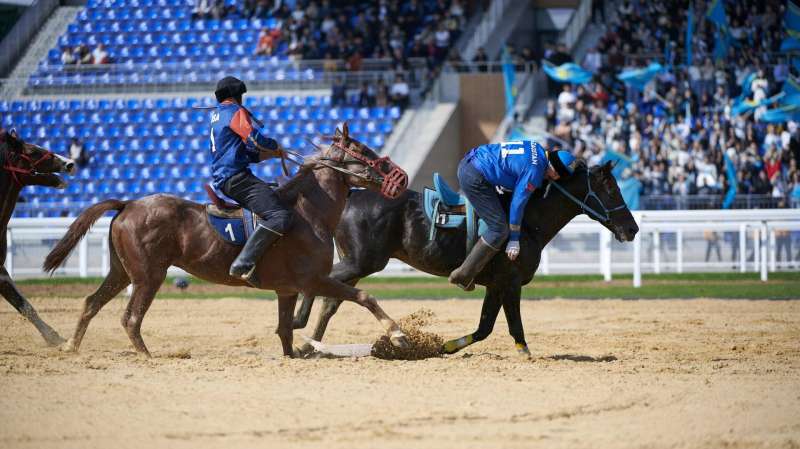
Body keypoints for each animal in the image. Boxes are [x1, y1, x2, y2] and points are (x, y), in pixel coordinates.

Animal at [40, 126, 410, 356]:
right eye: (363, 151)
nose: (402, 177)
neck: (309, 212)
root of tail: (129, 204)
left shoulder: (288, 290)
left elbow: (285, 331)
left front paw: (294, 354)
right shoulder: (314, 280)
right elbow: (363, 296)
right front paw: (397, 333)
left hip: (121, 272)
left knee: (92, 303)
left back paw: (70, 347)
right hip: (148, 276)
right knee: (130, 318)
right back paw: (146, 356)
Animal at [290, 160, 640, 354]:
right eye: (611, 188)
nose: (632, 228)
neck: (527, 220)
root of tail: (351, 196)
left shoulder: (496, 285)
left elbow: (485, 327)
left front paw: (444, 347)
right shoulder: (511, 281)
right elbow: (513, 326)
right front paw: (525, 353)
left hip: (358, 263)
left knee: (332, 299)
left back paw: (308, 343)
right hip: (362, 261)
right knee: (323, 285)